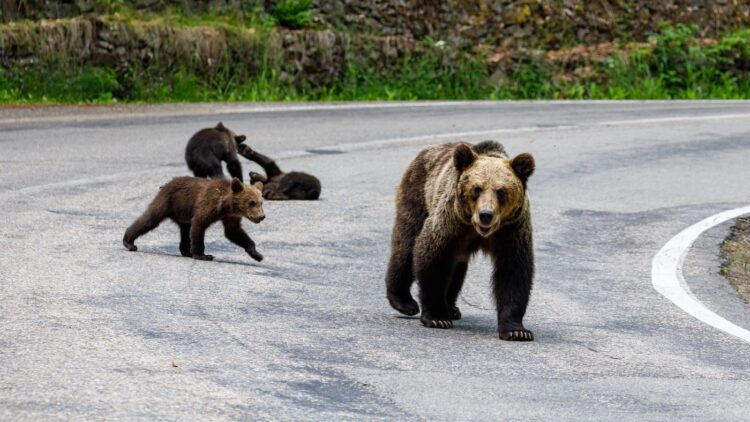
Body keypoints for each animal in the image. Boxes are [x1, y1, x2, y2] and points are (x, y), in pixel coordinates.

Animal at [388, 140, 536, 342]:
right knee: (406, 246)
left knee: (457, 268)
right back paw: (403, 302)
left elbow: (513, 273)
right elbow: (432, 258)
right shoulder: (451, 223)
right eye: (477, 188)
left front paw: (517, 330)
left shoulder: (511, 231)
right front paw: (437, 318)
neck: (478, 231)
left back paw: (451, 308)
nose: (486, 215)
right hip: (417, 195)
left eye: (501, 191)